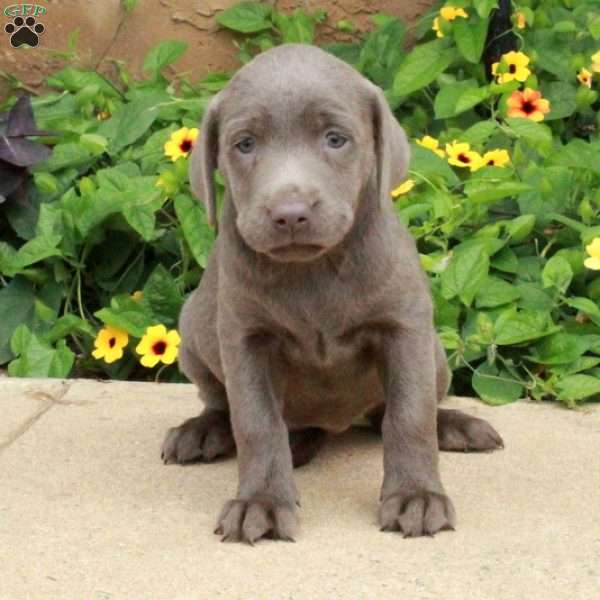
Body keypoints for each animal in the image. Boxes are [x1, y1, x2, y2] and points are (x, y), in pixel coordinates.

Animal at [162, 43, 504, 544]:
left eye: (336, 139)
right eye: (244, 144)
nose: (290, 213)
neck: (314, 268)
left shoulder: (404, 327)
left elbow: (409, 413)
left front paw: (417, 496)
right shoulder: (244, 338)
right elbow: (256, 421)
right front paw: (261, 502)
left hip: (435, 352)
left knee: (397, 410)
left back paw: (457, 427)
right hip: (194, 329)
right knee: (222, 404)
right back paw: (209, 432)